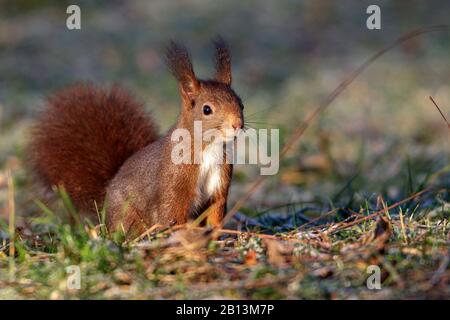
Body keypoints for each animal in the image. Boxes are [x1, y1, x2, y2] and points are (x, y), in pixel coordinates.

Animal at [29, 38, 244, 238]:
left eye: (240, 103)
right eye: (207, 109)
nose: (237, 125)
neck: (209, 147)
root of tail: (104, 204)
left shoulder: (220, 180)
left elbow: (216, 209)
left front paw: (216, 232)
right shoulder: (175, 181)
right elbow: (172, 211)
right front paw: (184, 232)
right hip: (129, 215)